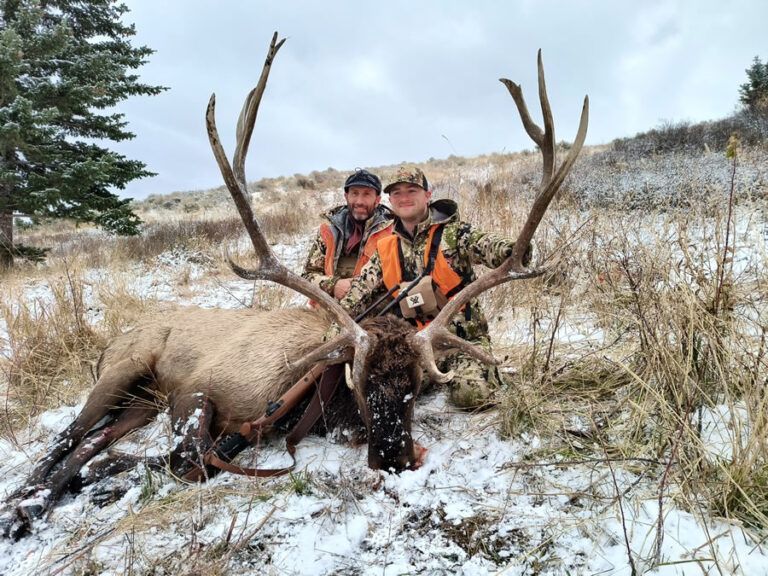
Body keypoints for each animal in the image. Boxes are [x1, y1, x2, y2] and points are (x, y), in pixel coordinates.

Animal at [1, 32, 587, 539]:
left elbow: (181, 459)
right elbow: (184, 459)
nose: (395, 458)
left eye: (416, 385)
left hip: (141, 404)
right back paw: (24, 503)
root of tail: (112, 342)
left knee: (94, 440)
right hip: (123, 371)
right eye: (361, 382)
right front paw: (95, 483)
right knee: (70, 435)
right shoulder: (197, 390)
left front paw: (101, 479)